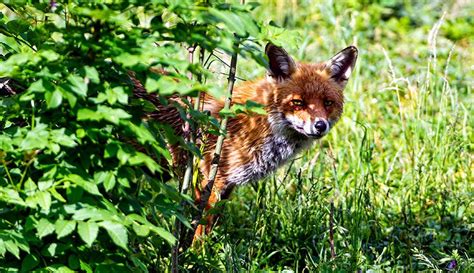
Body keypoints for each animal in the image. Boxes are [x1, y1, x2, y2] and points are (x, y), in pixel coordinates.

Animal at [131, 42, 358, 238]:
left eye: (327, 103)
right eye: (297, 103)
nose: (320, 126)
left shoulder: (226, 186)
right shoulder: (209, 180)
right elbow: (199, 231)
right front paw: (194, 256)